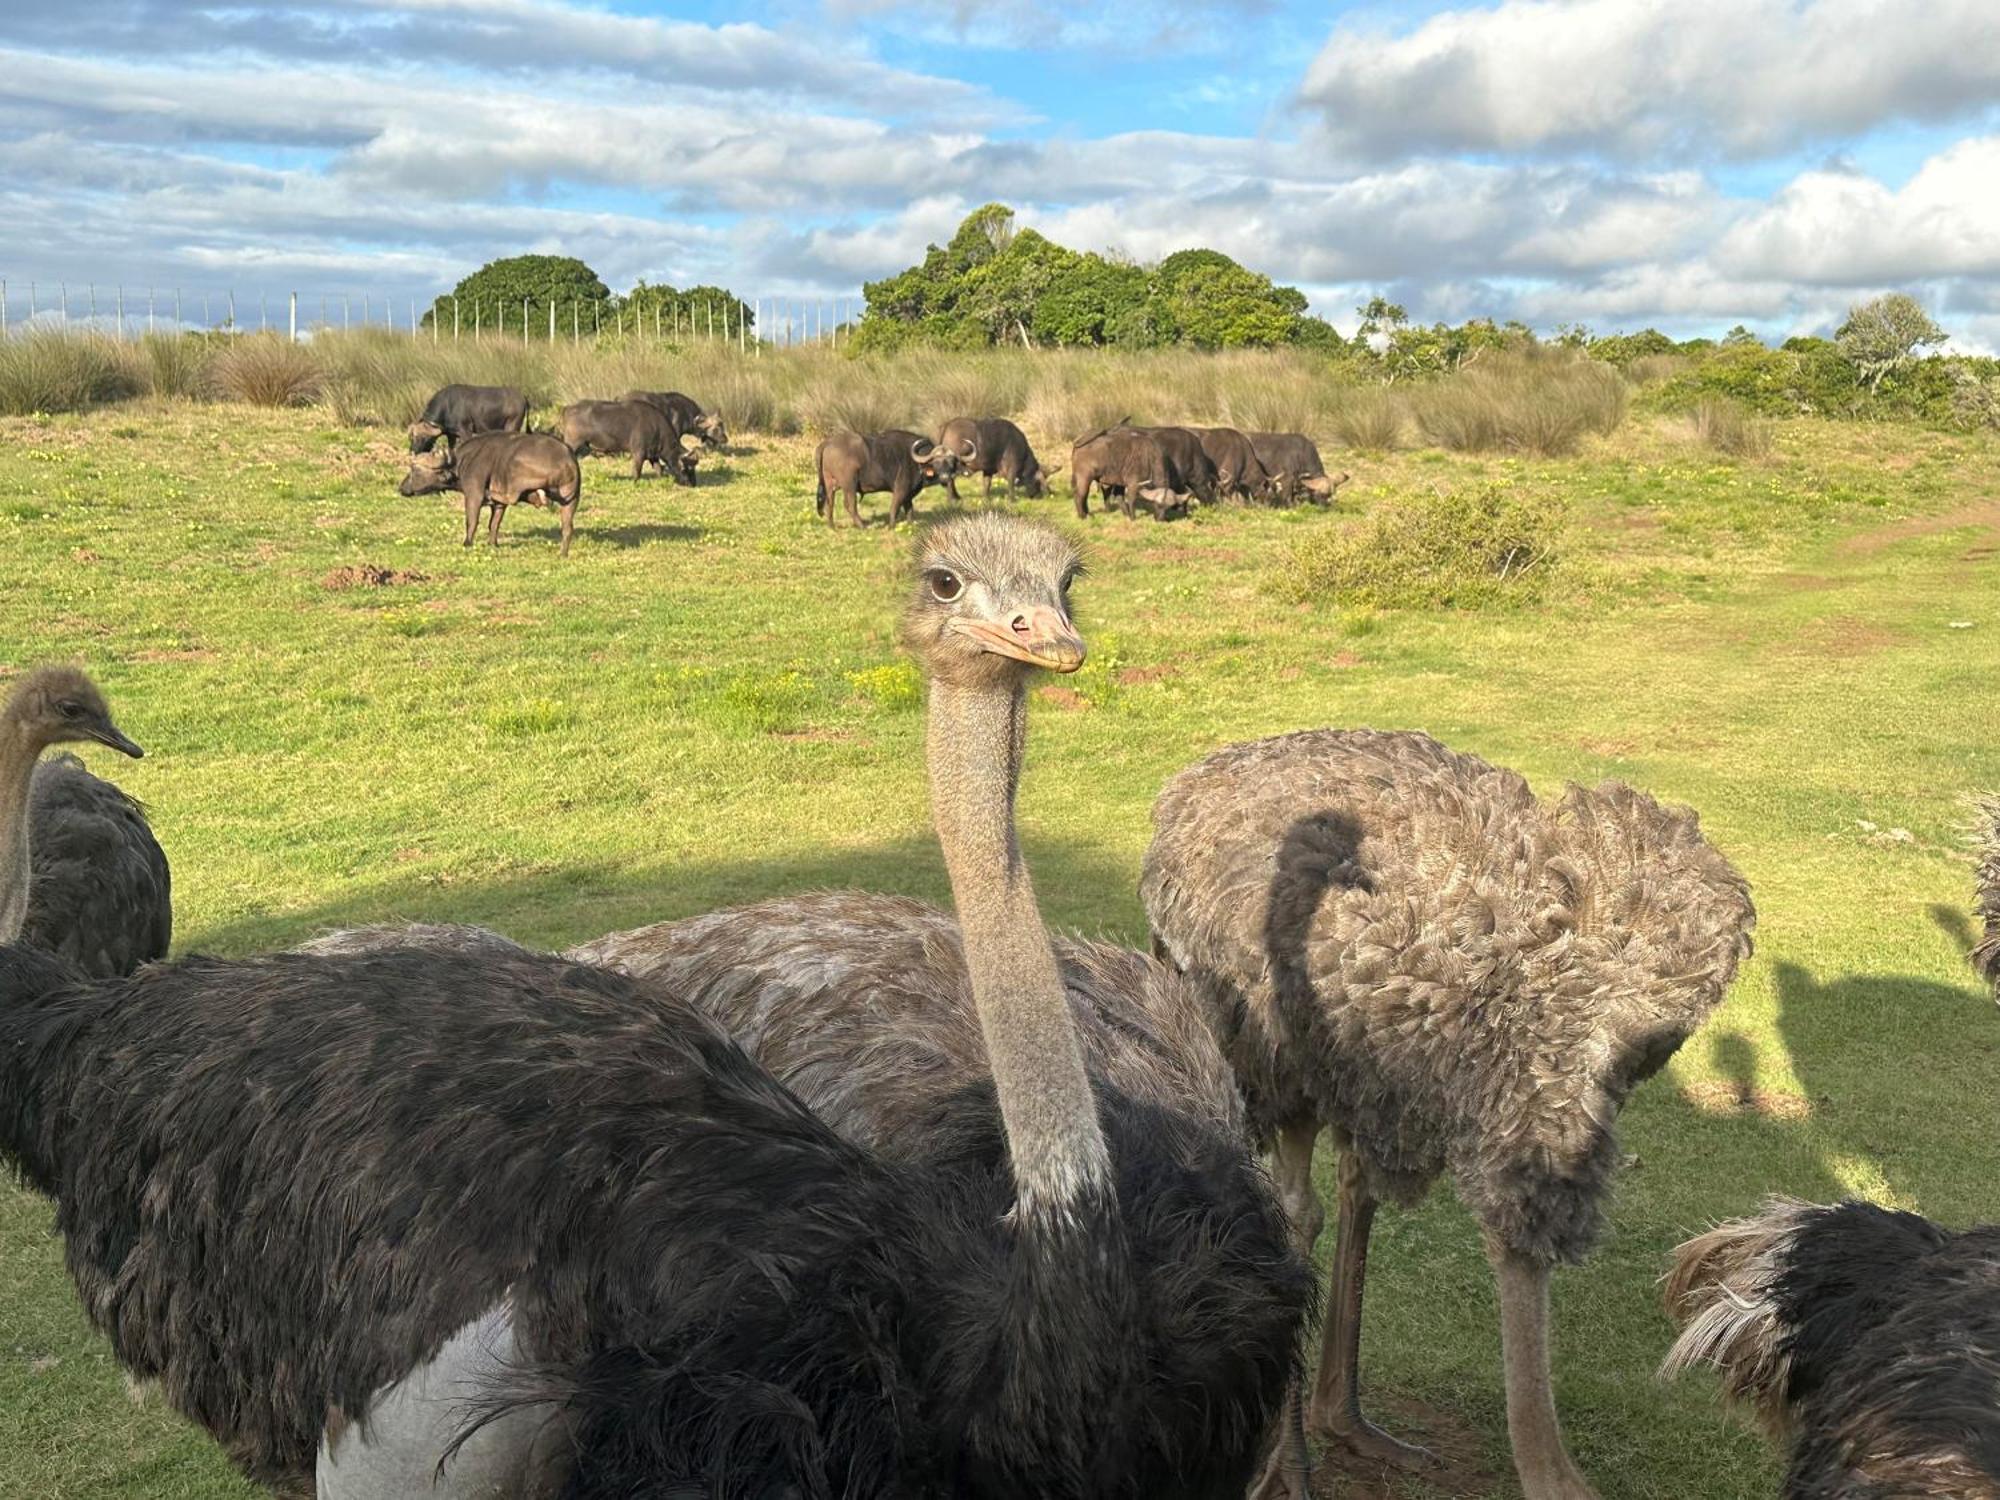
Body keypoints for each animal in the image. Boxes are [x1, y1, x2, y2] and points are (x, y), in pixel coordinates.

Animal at [398, 432, 584, 560]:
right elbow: (494, 523)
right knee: (567, 528)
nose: (401, 488)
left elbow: (472, 521)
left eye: (414, 470)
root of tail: (567, 460)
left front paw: (467, 543)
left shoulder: (473, 495)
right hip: (571, 500)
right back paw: (563, 553)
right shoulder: (499, 503)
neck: (460, 463)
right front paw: (492, 543)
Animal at [556, 402, 696, 484]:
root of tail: (568, 408)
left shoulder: (653, 455)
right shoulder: (639, 453)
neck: (655, 426)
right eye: (686, 468)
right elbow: (637, 470)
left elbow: (658, 469)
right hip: (573, 444)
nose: (692, 484)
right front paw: (635, 482)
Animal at [820, 428, 960, 528]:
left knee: (829, 503)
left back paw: (831, 526)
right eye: (936, 461)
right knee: (850, 504)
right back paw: (862, 526)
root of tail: (828, 442)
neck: (917, 463)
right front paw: (891, 526)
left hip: (829, 484)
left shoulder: (909, 493)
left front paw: (910, 524)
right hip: (850, 484)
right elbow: (895, 507)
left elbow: (909, 509)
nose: (946, 477)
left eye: (951, 462)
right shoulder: (901, 490)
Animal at [928, 418, 1064, 506]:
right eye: (1038, 482)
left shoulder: (988, 469)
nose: (1038, 496)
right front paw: (1012, 500)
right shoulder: (1012, 467)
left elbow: (986, 485)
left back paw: (957, 497)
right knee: (949, 480)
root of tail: (948, 424)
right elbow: (1010, 482)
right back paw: (952, 500)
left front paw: (986, 500)